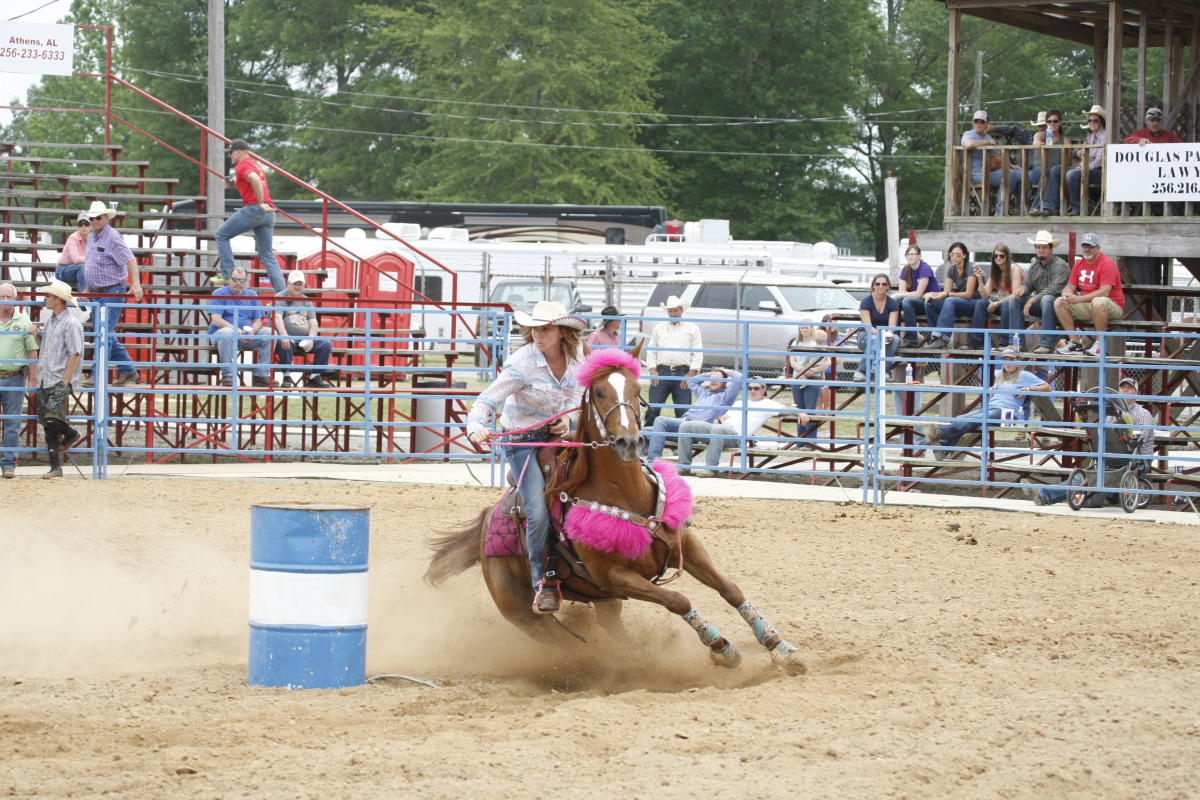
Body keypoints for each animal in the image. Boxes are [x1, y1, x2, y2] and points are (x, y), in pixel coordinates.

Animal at [424, 345, 806, 676]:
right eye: (598, 392)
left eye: (637, 388)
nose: (629, 441)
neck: (627, 495)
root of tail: (487, 522)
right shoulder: (617, 576)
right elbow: (678, 599)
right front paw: (722, 648)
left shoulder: (685, 547)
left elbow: (730, 589)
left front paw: (780, 646)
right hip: (524, 613)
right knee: (565, 642)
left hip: (605, 602)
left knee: (615, 635)